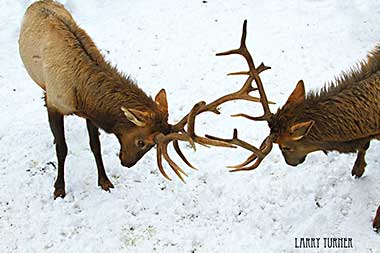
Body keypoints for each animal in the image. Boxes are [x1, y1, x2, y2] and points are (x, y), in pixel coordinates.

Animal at [18, 0, 264, 200]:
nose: (126, 163)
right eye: (141, 142)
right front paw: (59, 188)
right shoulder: (55, 103)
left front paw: (105, 181)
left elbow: (95, 145)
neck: (80, 94)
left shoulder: (90, 115)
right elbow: (62, 148)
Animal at [206, 21, 380, 231]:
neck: (374, 120)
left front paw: (377, 222)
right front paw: (358, 168)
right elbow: (364, 145)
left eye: (285, 146)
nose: (292, 163)